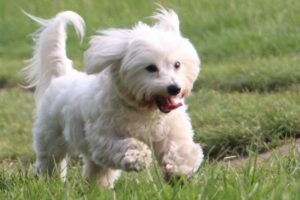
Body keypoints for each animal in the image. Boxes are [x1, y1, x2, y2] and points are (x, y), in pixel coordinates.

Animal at [25, 7, 204, 188]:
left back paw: (96, 188)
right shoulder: (103, 137)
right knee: (51, 162)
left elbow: (178, 148)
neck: (143, 109)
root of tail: (62, 75)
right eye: (151, 67)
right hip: (50, 137)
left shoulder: (171, 130)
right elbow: (126, 144)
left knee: (96, 169)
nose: (174, 88)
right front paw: (139, 157)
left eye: (177, 64)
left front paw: (180, 172)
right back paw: (51, 183)